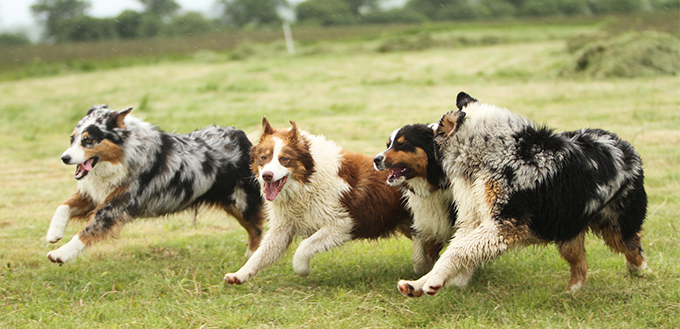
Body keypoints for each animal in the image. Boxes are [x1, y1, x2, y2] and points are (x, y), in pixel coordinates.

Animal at [46, 105, 264, 264]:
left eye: (88, 140)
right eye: (72, 139)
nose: (64, 158)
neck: (125, 155)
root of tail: (245, 139)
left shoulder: (115, 206)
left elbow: (87, 231)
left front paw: (61, 253)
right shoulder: (95, 195)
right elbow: (62, 206)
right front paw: (54, 233)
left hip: (241, 203)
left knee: (257, 230)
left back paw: (252, 257)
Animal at [226, 118, 412, 284]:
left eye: (284, 159)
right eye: (264, 157)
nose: (267, 176)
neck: (308, 181)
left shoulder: (342, 222)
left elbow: (304, 247)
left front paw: (303, 269)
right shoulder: (283, 227)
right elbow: (260, 254)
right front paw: (239, 275)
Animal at [398, 91, 648, 296]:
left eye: (431, 135)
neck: (488, 154)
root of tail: (623, 144)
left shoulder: (506, 224)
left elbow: (457, 251)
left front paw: (433, 282)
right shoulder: (473, 220)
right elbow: (453, 251)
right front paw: (419, 283)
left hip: (615, 225)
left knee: (633, 247)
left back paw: (641, 271)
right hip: (567, 228)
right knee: (581, 265)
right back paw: (570, 292)